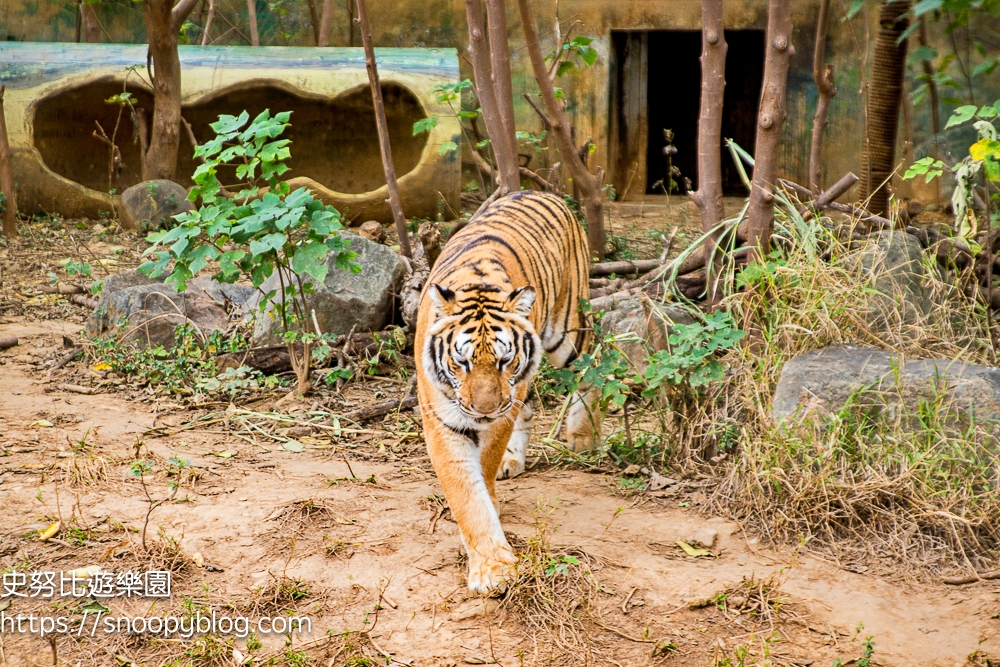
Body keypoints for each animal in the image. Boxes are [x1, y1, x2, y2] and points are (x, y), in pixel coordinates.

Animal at [416, 190, 600, 592]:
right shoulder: (443, 421)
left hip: (568, 334)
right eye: (462, 361)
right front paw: (492, 566)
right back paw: (514, 461)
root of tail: (538, 190)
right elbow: (467, 494)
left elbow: (482, 469)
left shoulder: (501, 410)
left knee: (597, 365)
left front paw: (494, 566)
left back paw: (583, 436)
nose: (484, 409)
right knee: (529, 406)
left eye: (503, 360)